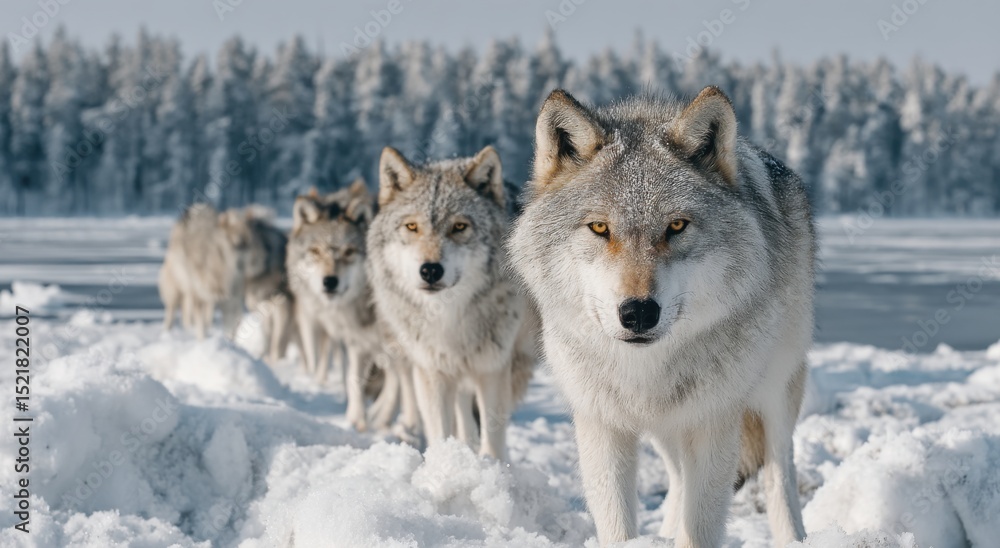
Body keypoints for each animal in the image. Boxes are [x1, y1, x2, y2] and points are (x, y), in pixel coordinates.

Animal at [159, 204, 253, 339]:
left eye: (248, 244)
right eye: (236, 244)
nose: (242, 265)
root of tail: (197, 206)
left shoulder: (231, 301)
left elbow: (231, 328)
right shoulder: (199, 296)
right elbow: (201, 329)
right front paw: (202, 341)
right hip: (178, 290)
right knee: (172, 312)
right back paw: (167, 333)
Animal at [286, 181, 419, 433]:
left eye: (348, 252)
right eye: (315, 251)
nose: (329, 281)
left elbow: (403, 382)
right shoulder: (356, 339)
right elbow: (353, 379)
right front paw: (356, 419)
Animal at [366, 145, 535, 459]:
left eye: (459, 226)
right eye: (412, 226)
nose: (431, 270)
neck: (448, 316)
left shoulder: (492, 368)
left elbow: (493, 438)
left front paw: (493, 468)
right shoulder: (432, 371)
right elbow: (440, 431)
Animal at [508, 87, 815, 547]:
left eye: (676, 226)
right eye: (600, 228)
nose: (638, 312)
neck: (645, 369)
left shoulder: (712, 421)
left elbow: (703, 525)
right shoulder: (601, 425)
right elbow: (618, 525)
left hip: (773, 394)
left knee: (779, 474)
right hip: (667, 429)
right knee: (677, 482)